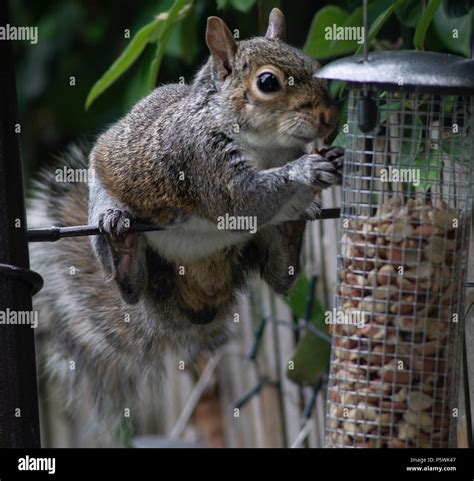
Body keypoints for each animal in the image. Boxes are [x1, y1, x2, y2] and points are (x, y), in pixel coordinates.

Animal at [28, 9, 340, 426]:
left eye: (314, 64)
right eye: (268, 82)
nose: (328, 117)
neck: (269, 149)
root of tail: (199, 294)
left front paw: (321, 173)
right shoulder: (200, 161)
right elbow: (243, 202)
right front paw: (306, 169)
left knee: (280, 275)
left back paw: (291, 231)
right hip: (107, 202)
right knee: (129, 287)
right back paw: (122, 245)